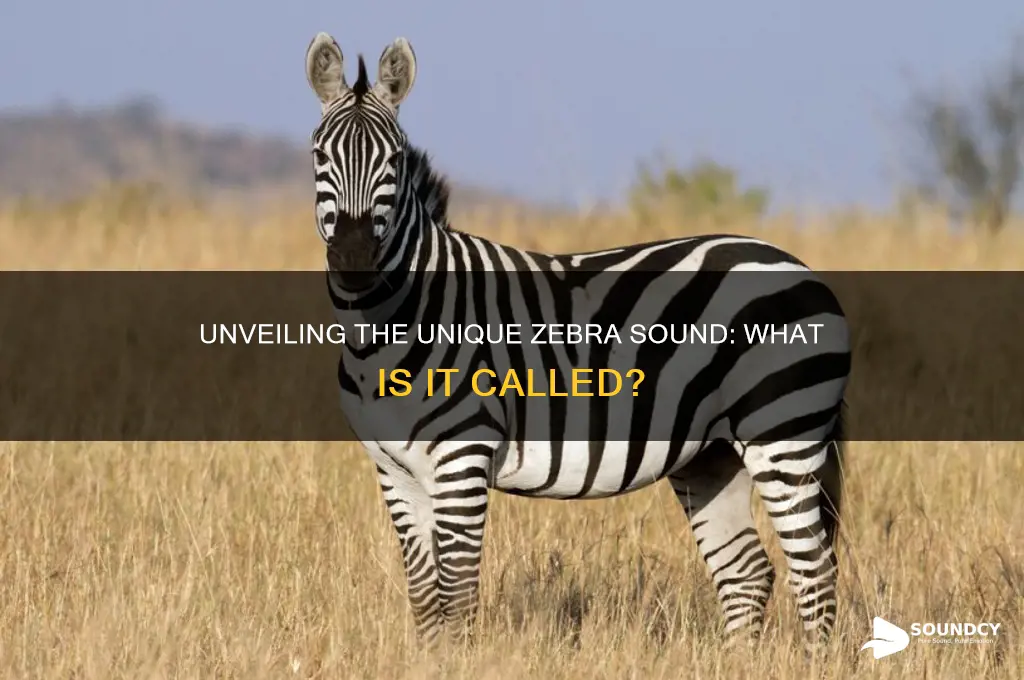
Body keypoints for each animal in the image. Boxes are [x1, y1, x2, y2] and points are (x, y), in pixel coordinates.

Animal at [304, 32, 851, 652]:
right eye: (319, 156)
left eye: (393, 161)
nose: (354, 263)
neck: (389, 327)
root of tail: (798, 266)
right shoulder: (393, 469)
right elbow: (424, 595)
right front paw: (428, 660)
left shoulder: (462, 456)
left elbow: (457, 592)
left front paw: (458, 661)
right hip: (711, 454)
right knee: (747, 572)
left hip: (784, 433)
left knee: (814, 572)